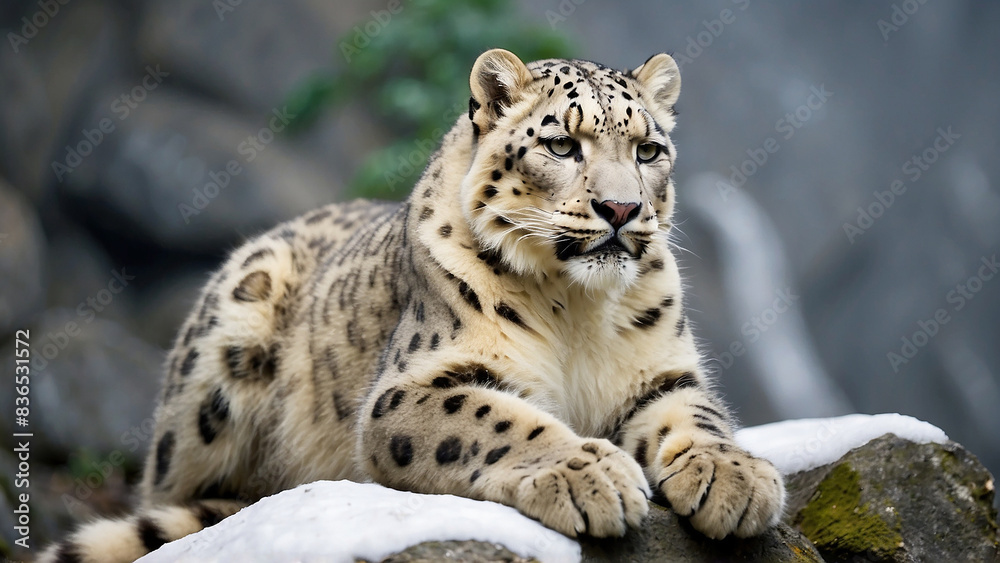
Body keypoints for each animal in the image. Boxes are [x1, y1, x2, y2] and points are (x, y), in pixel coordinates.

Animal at [41, 49, 785, 563]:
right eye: (561, 144)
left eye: (649, 149)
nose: (622, 208)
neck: (575, 309)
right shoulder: (415, 385)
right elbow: (503, 420)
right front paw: (588, 473)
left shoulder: (660, 372)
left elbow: (698, 415)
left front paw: (736, 479)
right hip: (220, 362)